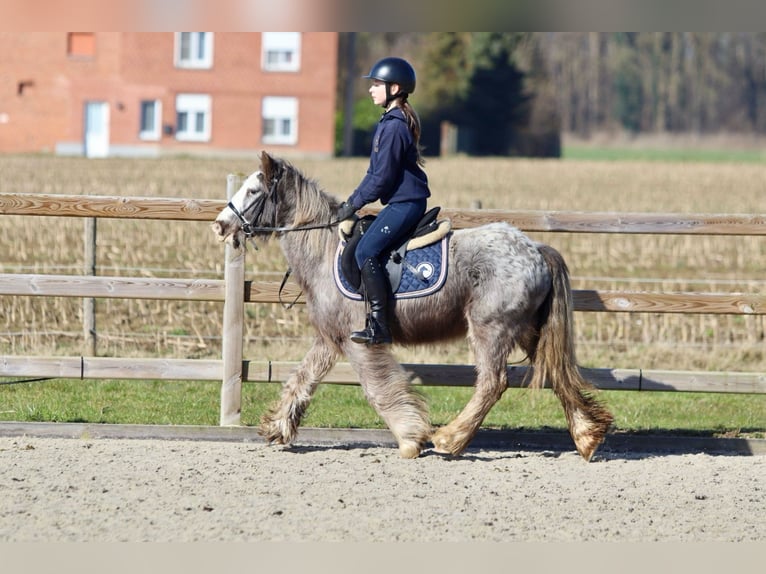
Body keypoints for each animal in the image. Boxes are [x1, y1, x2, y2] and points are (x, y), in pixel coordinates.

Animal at [213, 152, 616, 464]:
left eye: (253, 191)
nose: (220, 225)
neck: (324, 250)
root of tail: (535, 249)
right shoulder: (329, 338)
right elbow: (302, 378)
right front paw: (277, 426)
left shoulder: (359, 342)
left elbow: (378, 389)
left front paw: (410, 439)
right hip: (530, 331)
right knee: (556, 374)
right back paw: (587, 437)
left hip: (491, 328)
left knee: (492, 383)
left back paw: (450, 439)